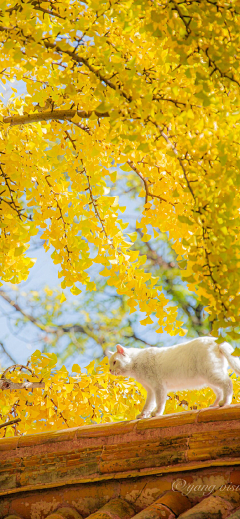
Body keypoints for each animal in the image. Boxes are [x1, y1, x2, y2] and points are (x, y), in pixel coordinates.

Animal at [107, 338, 240, 418]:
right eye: (110, 363)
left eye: (114, 362)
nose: (110, 370)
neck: (136, 363)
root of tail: (216, 339)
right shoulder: (150, 390)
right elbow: (148, 404)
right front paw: (143, 415)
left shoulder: (159, 387)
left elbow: (159, 403)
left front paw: (157, 413)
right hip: (208, 378)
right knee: (219, 391)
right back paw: (214, 405)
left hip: (211, 374)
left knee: (228, 383)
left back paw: (224, 402)